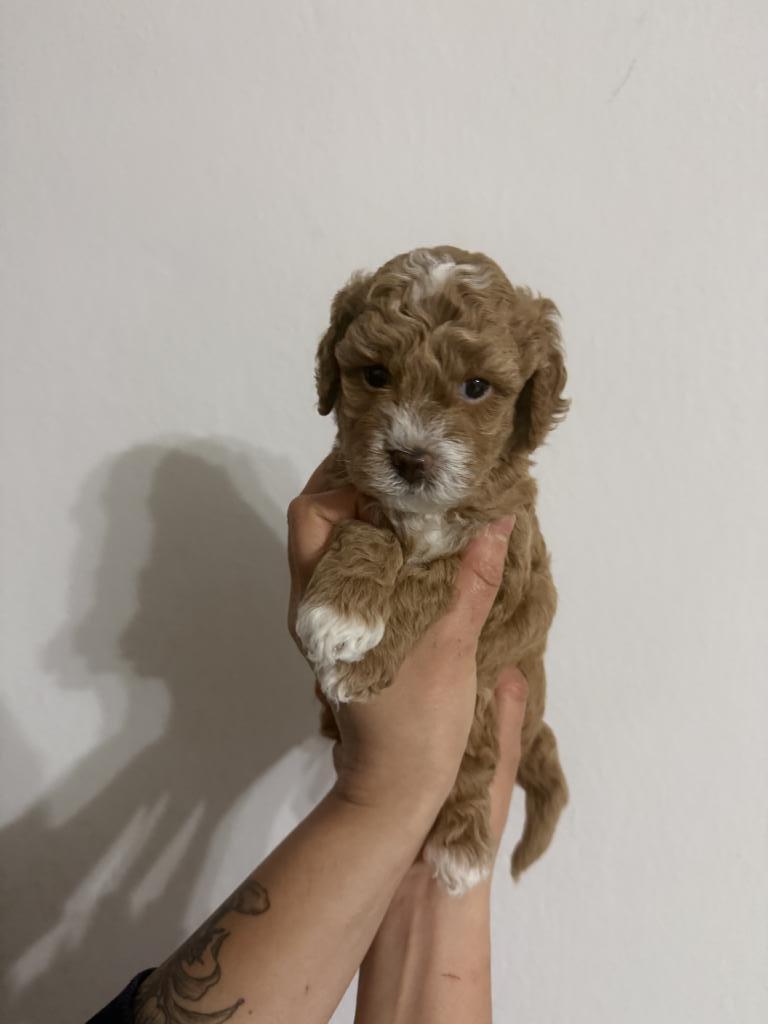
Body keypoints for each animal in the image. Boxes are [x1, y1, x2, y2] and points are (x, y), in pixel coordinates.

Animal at [296, 245, 569, 894]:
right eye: (375, 375)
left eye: (476, 387)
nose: (409, 458)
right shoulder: (347, 483)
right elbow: (373, 533)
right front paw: (342, 612)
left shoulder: (506, 554)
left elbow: (431, 579)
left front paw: (361, 659)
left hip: (494, 691)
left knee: (478, 760)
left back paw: (460, 848)